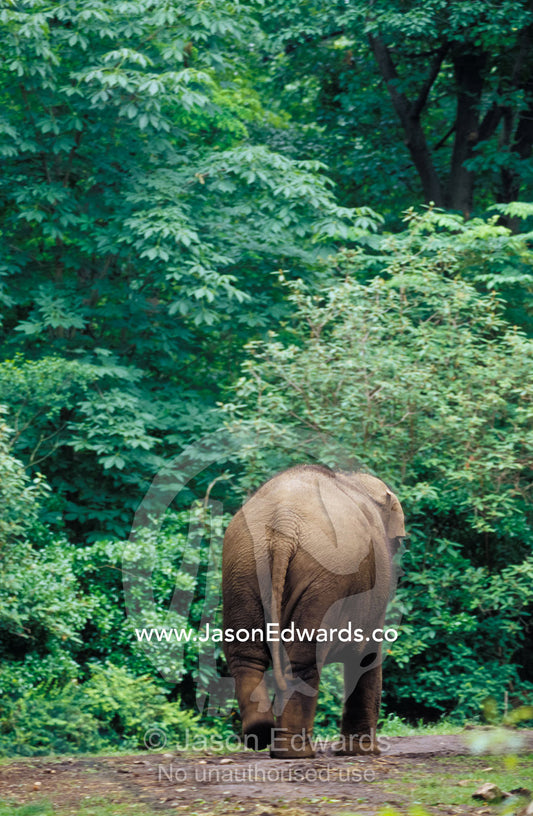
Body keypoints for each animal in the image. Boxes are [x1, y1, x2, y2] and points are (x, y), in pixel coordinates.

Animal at [222, 464, 405, 759]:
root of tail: (284, 522)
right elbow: (367, 656)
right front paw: (361, 753)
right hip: (322, 574)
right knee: (302, 659)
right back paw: (296, 752)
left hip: (242, 564)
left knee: (245, 655)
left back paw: (261, 734)